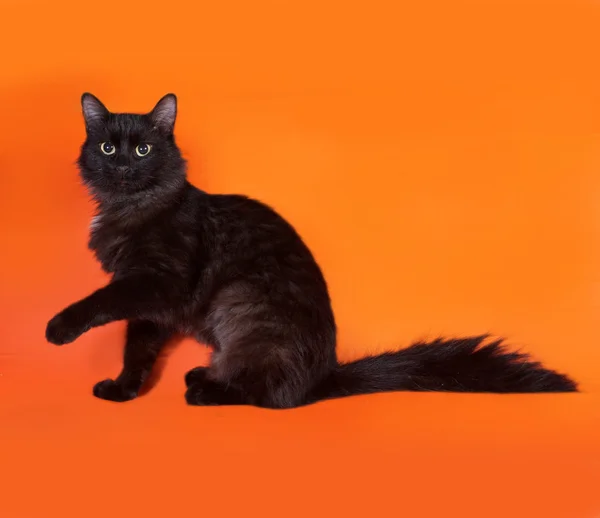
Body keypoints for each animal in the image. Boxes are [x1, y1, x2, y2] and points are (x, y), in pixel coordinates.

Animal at [44, 94, 580, 410]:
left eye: (143, 151)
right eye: (108, 149)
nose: (123, 167)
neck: (130, 208)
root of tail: (323, 377)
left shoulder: (158, 281)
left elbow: (100, 302)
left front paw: (60, 328)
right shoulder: (152, 307)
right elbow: (137, 348)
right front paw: (124, 390)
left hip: (240, 306)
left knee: (267, 394)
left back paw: (205, 388)